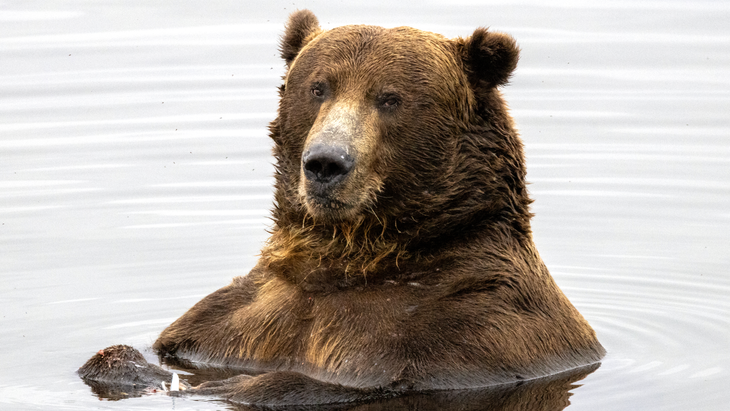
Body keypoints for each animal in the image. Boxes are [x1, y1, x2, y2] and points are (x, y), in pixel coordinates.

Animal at [79, 9, 605, 407]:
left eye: (390, 97)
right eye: (318, 87)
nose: (326, 162)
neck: (348, 261)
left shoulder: (474, 329)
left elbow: (302, 382)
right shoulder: (236, 321)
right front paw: (123, 360)